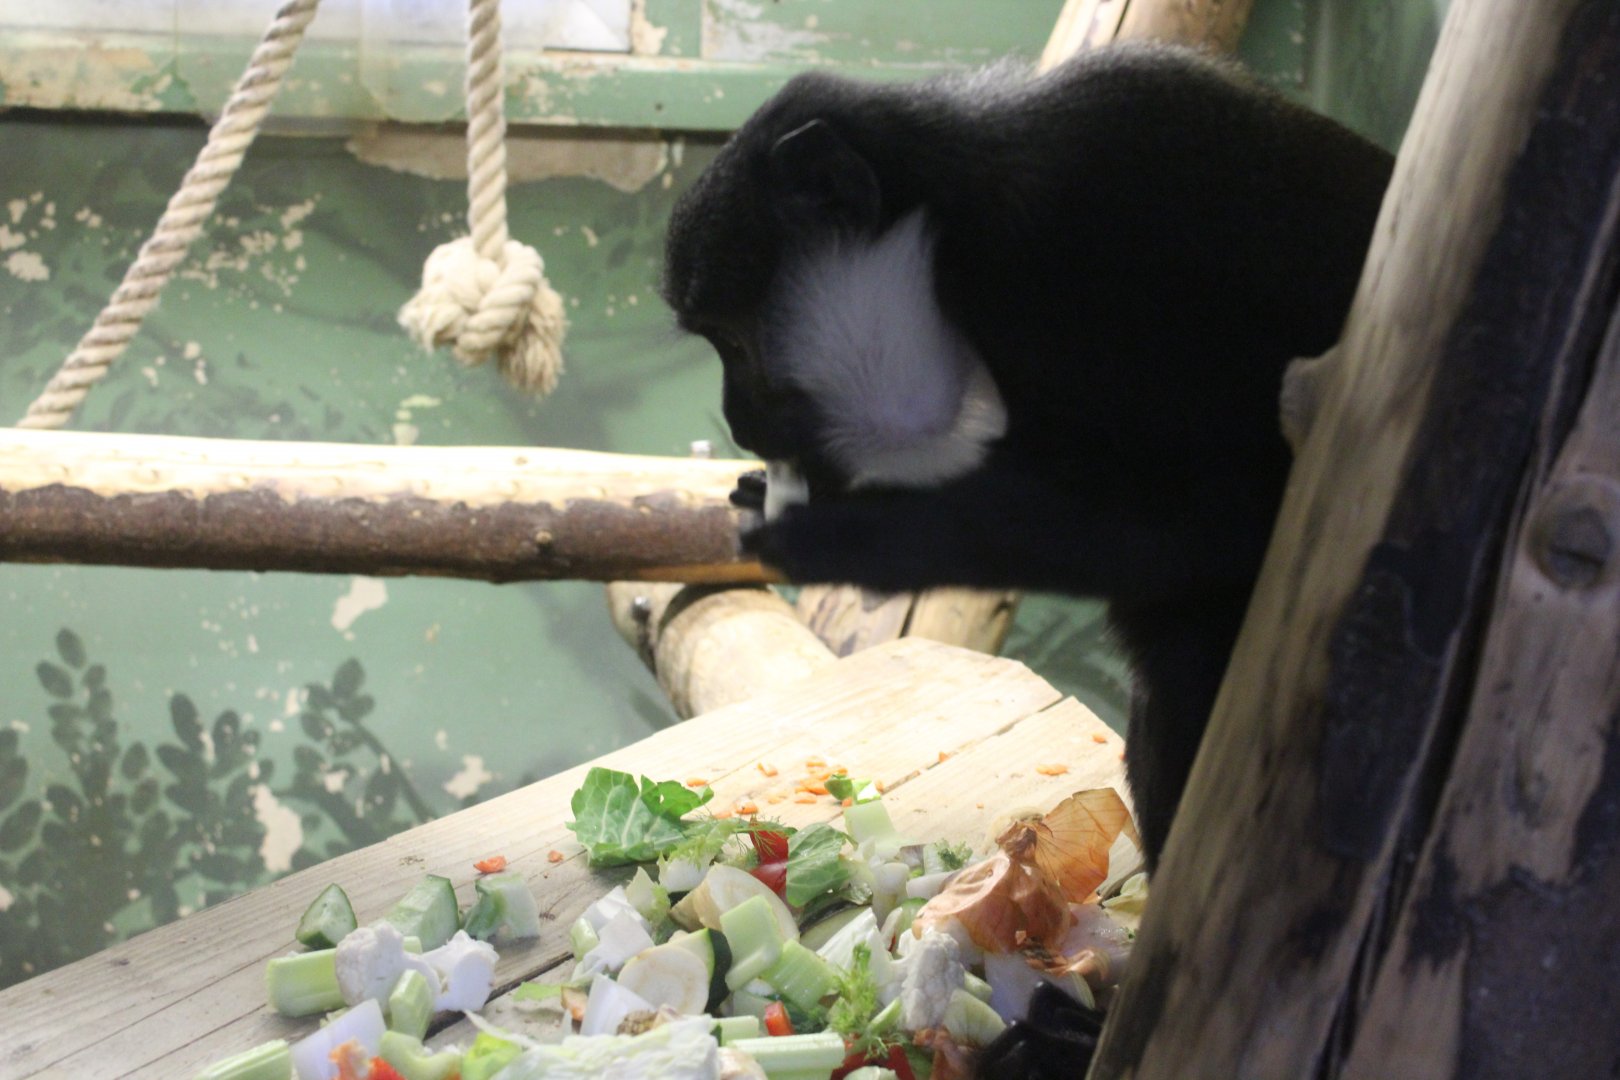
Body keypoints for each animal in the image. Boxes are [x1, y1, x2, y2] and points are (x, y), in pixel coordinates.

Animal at [661, 43, 1391, 1073]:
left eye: (735, 340)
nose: (736, 417)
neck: (959, 237)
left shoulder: (1088, 227)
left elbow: (1228, 515)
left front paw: (850, 536)